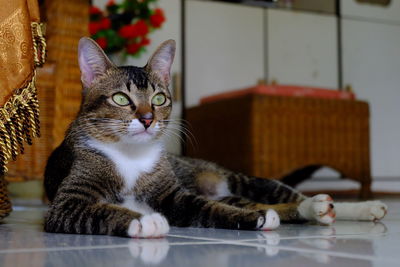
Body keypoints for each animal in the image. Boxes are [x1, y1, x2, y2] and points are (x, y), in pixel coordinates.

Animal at [43, 37, 388, 239]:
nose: (147, 118)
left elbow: (205, 207)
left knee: (282, 196)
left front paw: (253, 219)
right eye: (119, 99)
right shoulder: (66, 204)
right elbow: (102, 209)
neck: (130, 156)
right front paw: (144, 221)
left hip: (236, 178)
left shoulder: (173, 195)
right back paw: (309, 210)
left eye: (158, 98)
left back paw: (349, 207)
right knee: (265, 202)